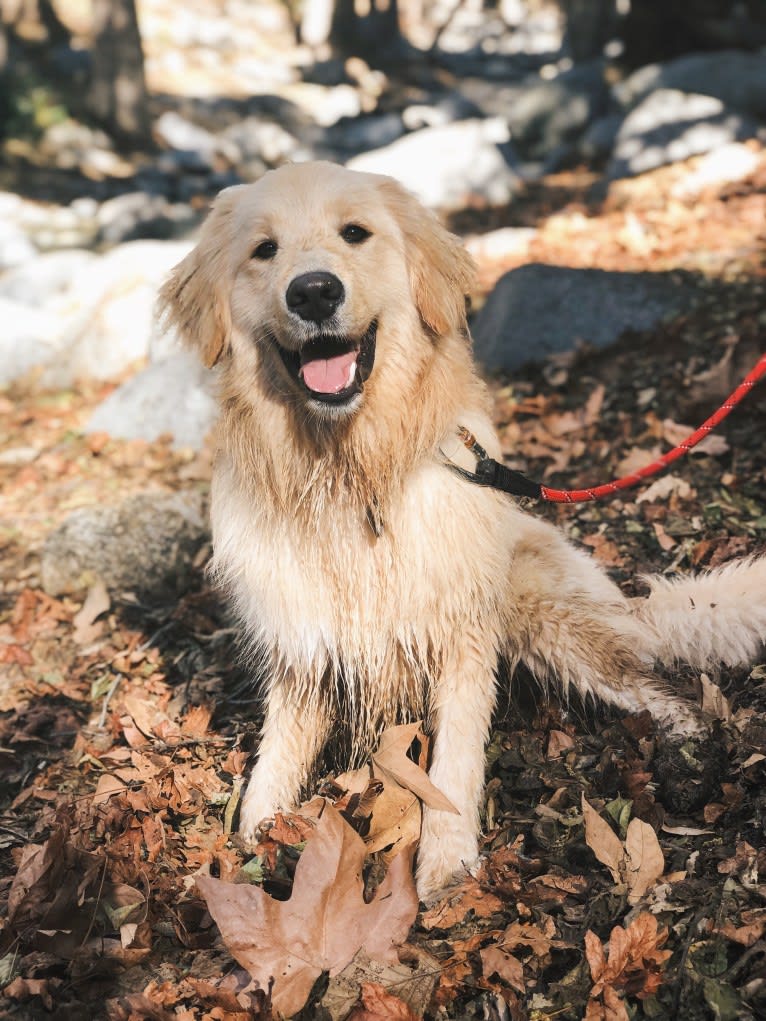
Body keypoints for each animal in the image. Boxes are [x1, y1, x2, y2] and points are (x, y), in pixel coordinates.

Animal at [159, 161, 763, 902]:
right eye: (263, 250)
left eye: (354, 233)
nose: (314, 291)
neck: (351, 474)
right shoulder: (303, 647)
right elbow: (273, 764)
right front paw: (251, 840)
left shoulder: (463, 631)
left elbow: (455, 759)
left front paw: (446, 862)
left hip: (542, 611)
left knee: (665, 692)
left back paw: (692, 755)